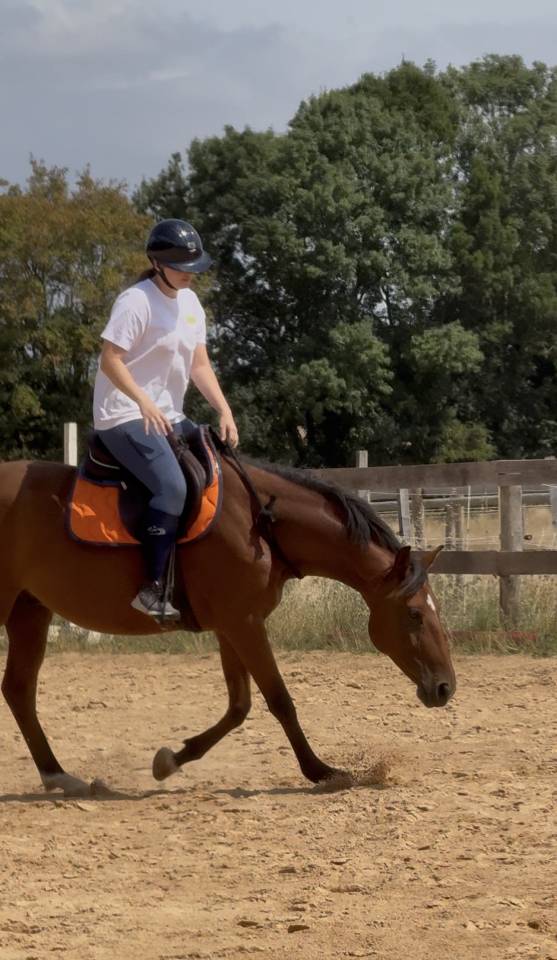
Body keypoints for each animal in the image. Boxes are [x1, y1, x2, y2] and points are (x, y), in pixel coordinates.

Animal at [0, 450, 456, 797]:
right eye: (414, 614)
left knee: (19, 690)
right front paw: (322, 771)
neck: (261, 525)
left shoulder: (231, 626)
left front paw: (171, 760)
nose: (445, 687)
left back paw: (59, 776)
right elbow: (279, 700)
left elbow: (239, 706)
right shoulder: (245, 623)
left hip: (30, 610)